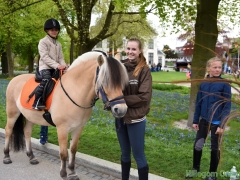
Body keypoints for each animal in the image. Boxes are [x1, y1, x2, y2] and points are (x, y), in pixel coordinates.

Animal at [2, 51, 129, 179]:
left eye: (121, 82)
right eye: (105, 82)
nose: (121, 109)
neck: (75, 92)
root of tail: (14, 79)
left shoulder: (79, 128)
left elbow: (73, 150)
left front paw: (72, 172)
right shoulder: (62, 128)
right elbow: (63, 153)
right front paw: (63, 174)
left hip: (30, 116)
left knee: (27, 131)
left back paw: (32, 157)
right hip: (13, 113)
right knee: (8, 130)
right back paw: (7, 156)